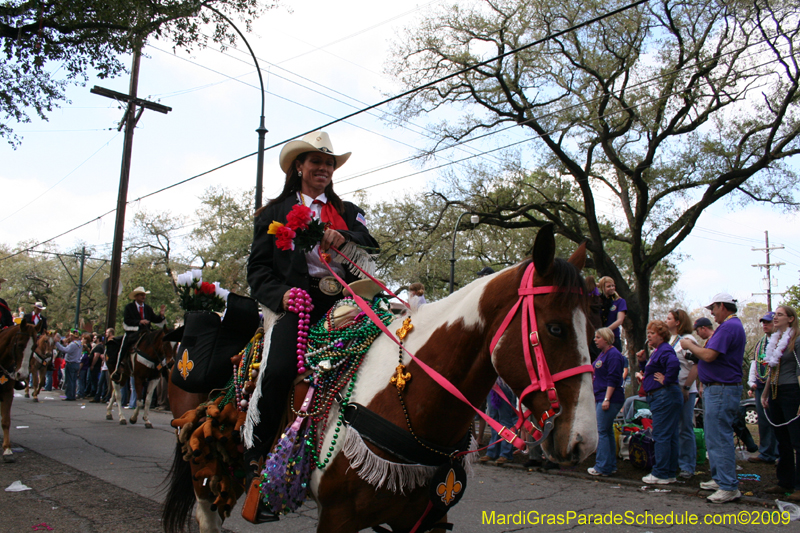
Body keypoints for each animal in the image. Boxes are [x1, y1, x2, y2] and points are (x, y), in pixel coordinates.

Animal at [0, 320, 37, 462]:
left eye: (34, 346)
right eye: (20, 344)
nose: (23, 375)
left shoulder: (7, 392)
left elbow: (6, 421)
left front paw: (7, 450)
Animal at [164, 224, 600, 532]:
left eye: (594, 329)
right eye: (556, 328)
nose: (583, 442)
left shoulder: (426, 521)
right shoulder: (338, 519)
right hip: (208, 464)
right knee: (207, 514)